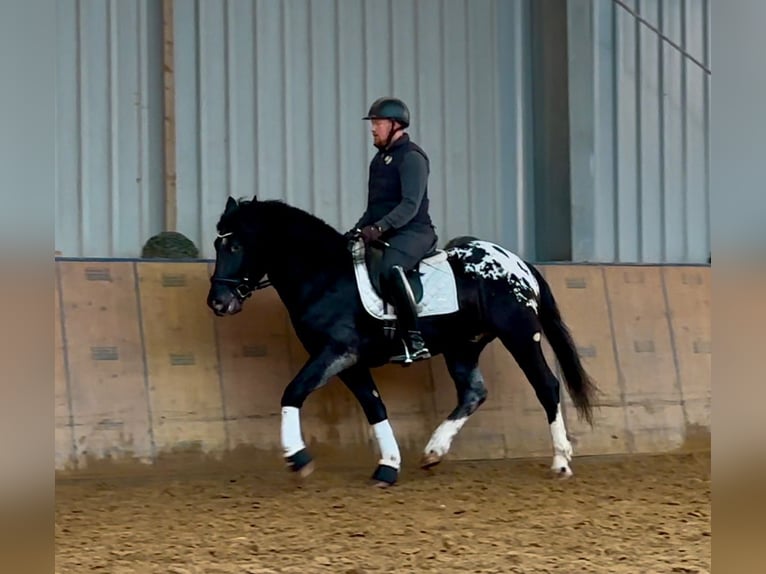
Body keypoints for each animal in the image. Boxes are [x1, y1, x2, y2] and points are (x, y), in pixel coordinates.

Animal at [208, 196, 600, 488]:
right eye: (217, 243)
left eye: (236, 245)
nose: (217, 302)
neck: (324, 275)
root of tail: (519, 263)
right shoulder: (349, 361)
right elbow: (374, 406)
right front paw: (388, 465)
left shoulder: (337, 351)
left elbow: (293, 391)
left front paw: (297, 456)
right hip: (463, 346)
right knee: (474, 392)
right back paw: (434, 451)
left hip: (519, 335)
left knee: (546, 386)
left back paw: (561, 462)